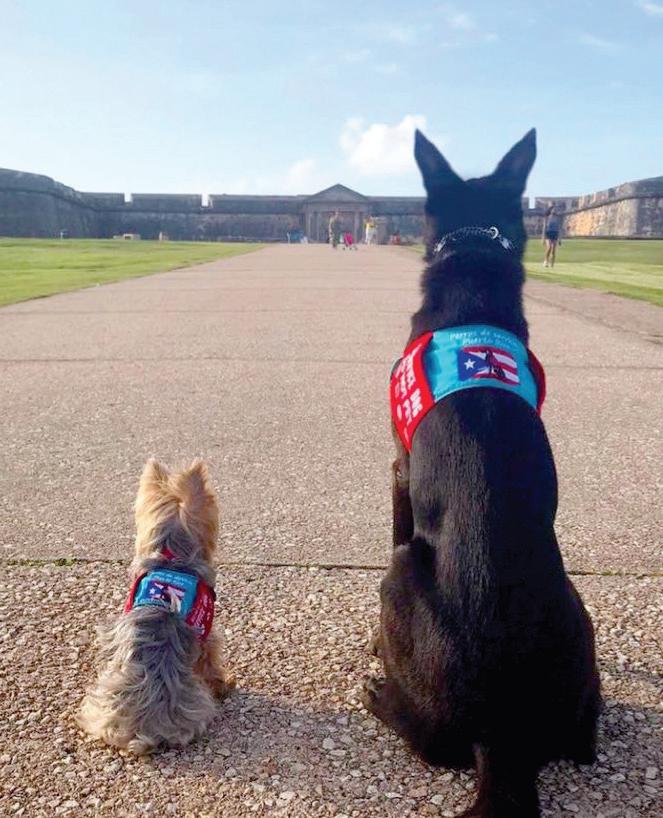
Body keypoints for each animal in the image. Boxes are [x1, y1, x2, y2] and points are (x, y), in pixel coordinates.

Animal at [362, 129, 601, 818]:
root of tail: (504, 735)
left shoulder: (398, 468)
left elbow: (396, 517)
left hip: (400, 575)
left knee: (424, 738)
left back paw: (382, 695)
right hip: (582, 618)